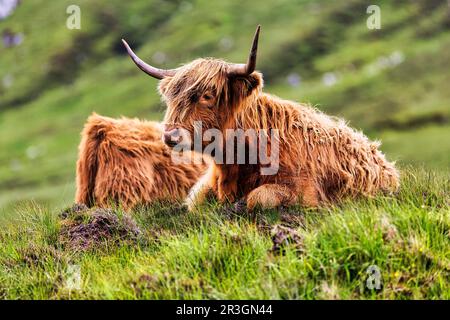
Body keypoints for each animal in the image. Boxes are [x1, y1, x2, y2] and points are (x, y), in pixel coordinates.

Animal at [122, 26, 398, 211]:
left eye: (207, 96)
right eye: (171, 97)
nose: (170, 136)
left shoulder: (304, 191)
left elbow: (257, 198)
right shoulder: (204, 187)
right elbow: (195, 202)